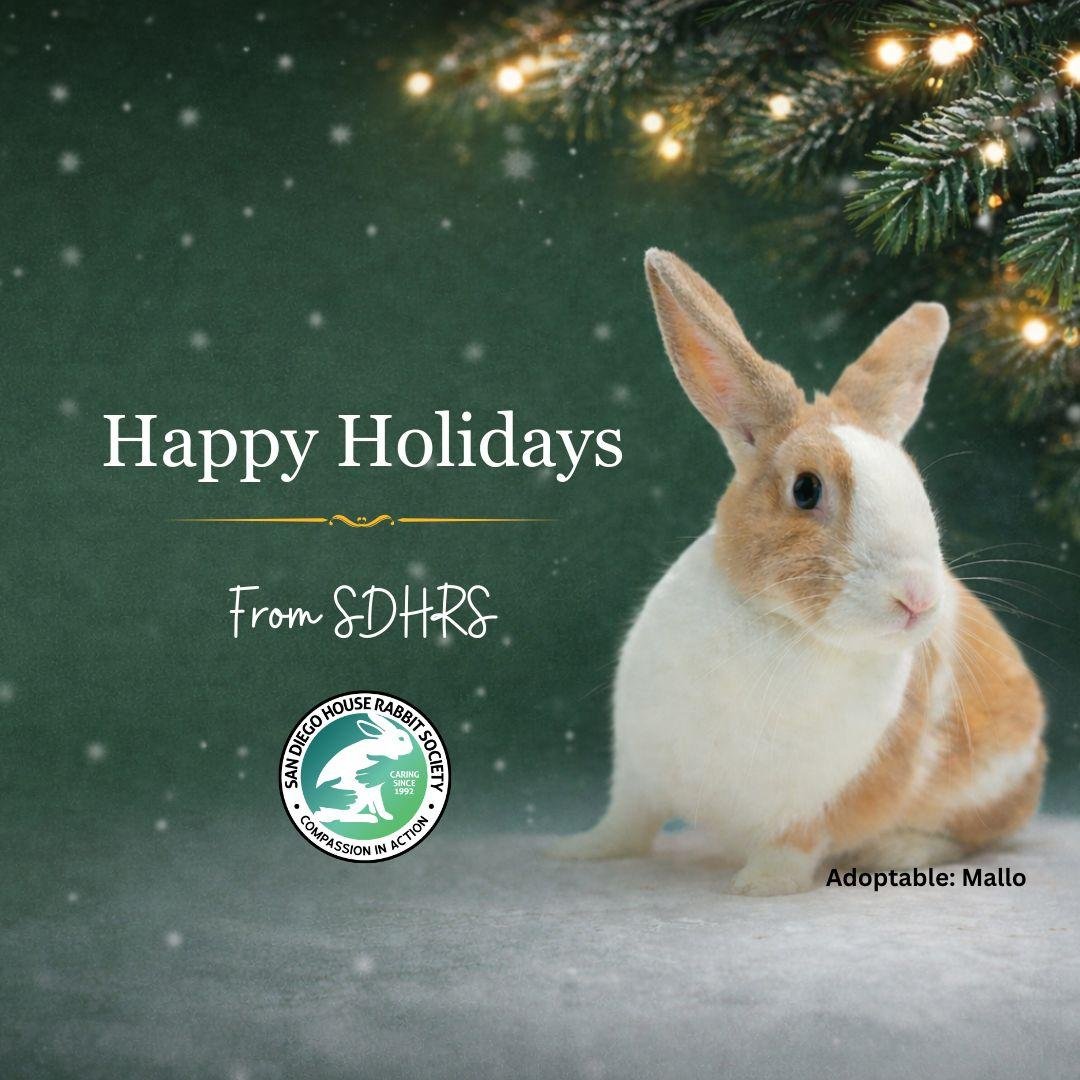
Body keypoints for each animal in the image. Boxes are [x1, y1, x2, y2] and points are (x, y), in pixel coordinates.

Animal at [549, 248, 1047, 896]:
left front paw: (757, 886)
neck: (779, 623)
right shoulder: (639, 777)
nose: (917, 598)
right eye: (806, 489)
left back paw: (892, 854)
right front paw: (576, 852)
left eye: (917, 487)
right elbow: (624, 825)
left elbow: (793, 847)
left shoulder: (816, 806)